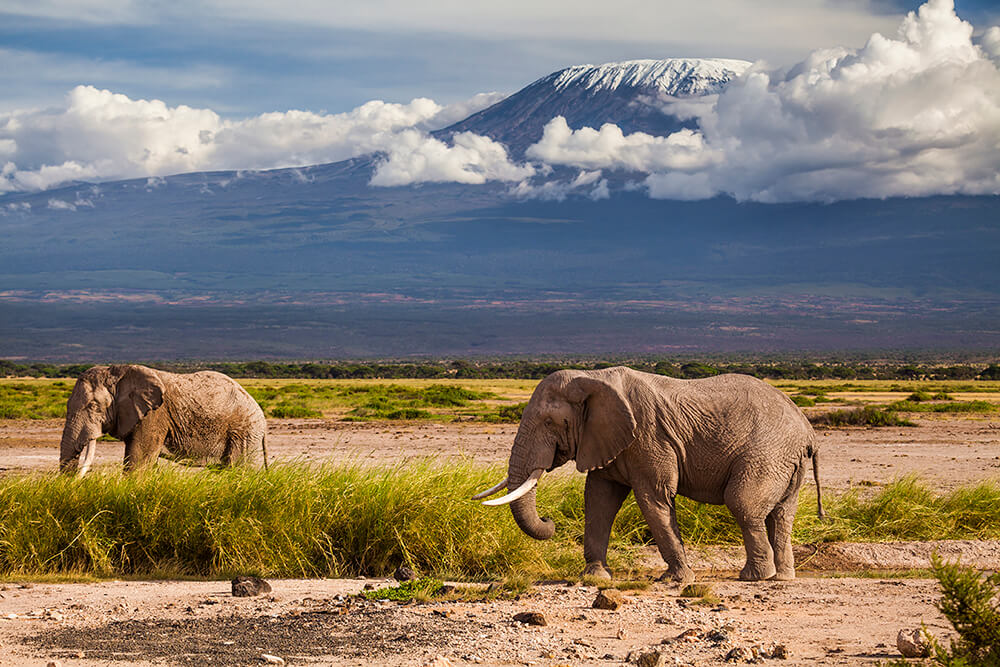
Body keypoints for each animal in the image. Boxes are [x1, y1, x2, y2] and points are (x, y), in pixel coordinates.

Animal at [59, 364, 268, 476]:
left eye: (93, 406)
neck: (118, 372)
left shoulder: (154, 415)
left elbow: (138, 461)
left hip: (243, 431)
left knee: (239, 469)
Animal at [474, 367, 822, 583]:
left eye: (550, 422)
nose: (550, 521)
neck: (591, 379)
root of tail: (807, 432)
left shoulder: (648, 436)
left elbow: (653, 498)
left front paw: (676, 580)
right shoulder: (606, 439)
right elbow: (599, 500)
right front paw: (595, 577)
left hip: (767, 452)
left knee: (743, 504)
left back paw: (754, 577)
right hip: (786, 461)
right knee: (781, 514)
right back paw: (782, 576)